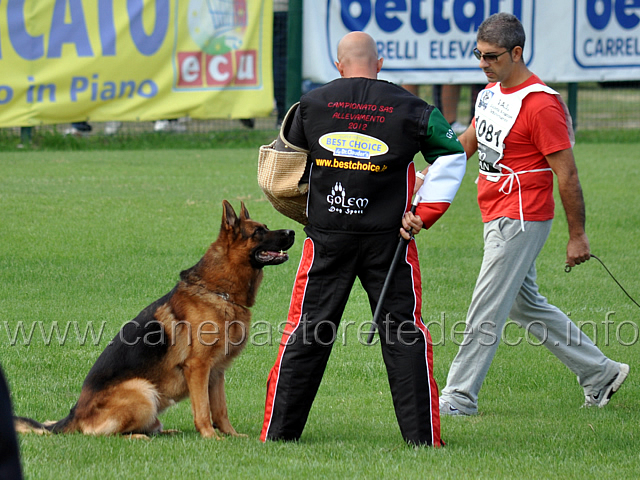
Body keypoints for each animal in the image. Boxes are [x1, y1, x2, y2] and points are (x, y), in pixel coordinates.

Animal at [15, 201, 296, 436]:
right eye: (258, 232)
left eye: (266, 227)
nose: (292, 231)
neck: (218, 291)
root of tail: (73, 415)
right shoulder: (198, 368)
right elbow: (203, 410)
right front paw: (210, 437)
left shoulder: (216, 372)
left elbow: (220, 409)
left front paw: (231, 436)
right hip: (143, 390)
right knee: (104, 434)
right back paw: (141, 436)